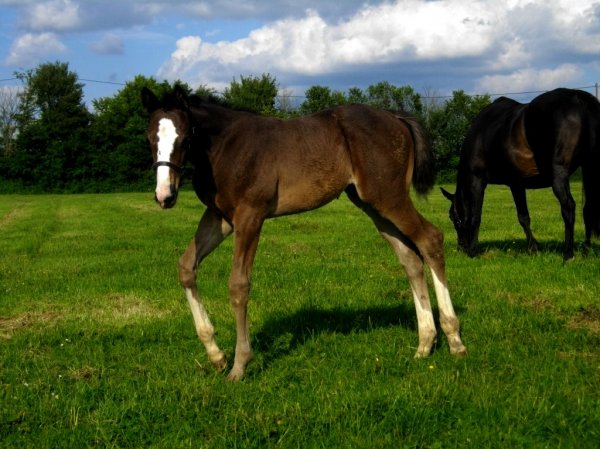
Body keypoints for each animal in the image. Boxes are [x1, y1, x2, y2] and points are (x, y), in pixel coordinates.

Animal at [142, 86, 468, 380]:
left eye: (185, 138)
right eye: (150, 138)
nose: (165, 195)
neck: (225, 147)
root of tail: (394, 116)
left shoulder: (249, 216)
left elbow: (238, 286)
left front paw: (239, 364)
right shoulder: (220, 217)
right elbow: (186, 267)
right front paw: (216, 355)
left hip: (389, 197)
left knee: (430, 239)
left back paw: (454, 340)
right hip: (371, 203)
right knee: (410, 257)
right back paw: (425, 343)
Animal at [440, 87, 600, 260]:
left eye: (453, 217)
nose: (461, 248)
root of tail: (578, 98)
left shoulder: (478, 180)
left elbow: (476, 215)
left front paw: (473, 250)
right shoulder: (516, 184)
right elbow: (523, 217)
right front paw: (533, 248)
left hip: (559, 174)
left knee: (568, 207)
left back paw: (568, 254)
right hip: (589, 168)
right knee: (588, 209)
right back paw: (586, 251)